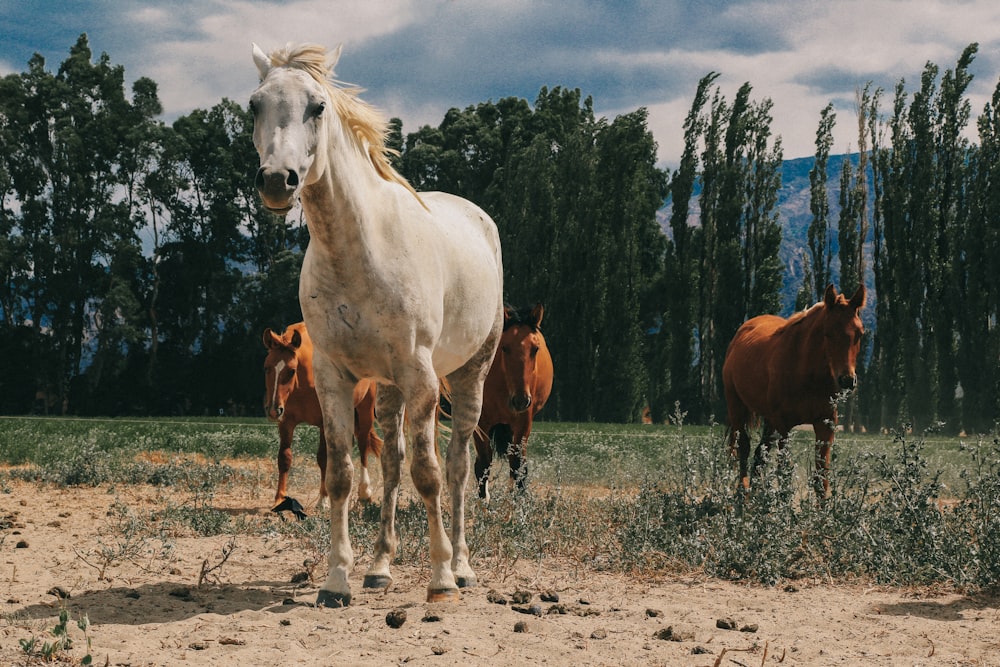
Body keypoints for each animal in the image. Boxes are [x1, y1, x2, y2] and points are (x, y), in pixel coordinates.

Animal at [262, 324, 382, 506]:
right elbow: (284, 458)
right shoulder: (286, 422)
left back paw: (364, 492)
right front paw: (279, 499)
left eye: (291, 371)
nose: (274, 410)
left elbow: (323, 458)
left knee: (363, 447)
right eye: (267, 367)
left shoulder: (324, 423)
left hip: (365, 411)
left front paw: (323, 499)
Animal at [470, 304, 552, 500]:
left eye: (535, 349)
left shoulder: (523, 422)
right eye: (504, 348)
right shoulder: (481, 423)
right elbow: (483, 465)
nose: (521, 400)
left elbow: (518, 466)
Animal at [724, 284, 864, 498]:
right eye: (828, 333)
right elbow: (784, 473)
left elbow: (821, 477)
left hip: (768, 421)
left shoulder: (825, 424)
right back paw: (743, 495)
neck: (805, 372)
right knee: (743, 448)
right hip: (737, 409)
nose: (847, 379)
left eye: (859, 333)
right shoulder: (784, 425)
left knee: (759, 453)